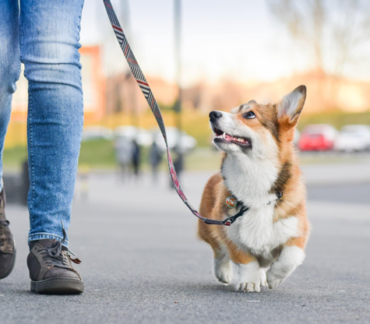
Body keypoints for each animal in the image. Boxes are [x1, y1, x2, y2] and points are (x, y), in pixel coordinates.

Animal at [199, 85, 310, 292]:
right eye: (232, 111)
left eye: (249, 114)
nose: (212, 113)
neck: (253, 175)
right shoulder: (230, 232)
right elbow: (245, 260)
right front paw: (249, 281)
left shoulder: (297, 230)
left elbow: (290, 257)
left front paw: (274, 277)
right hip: (207, 226)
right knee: (218, 251)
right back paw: (224, 272)